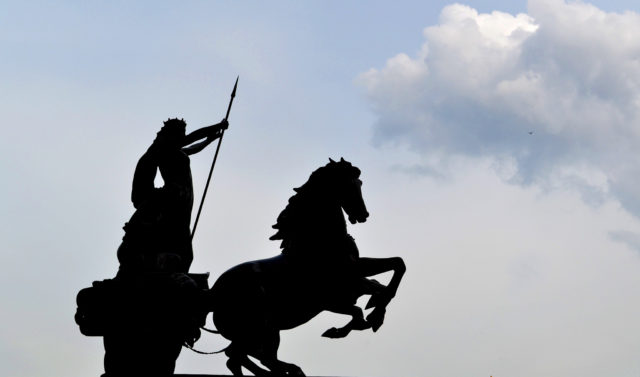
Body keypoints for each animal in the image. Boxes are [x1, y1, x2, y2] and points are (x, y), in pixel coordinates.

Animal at [205, 157, 404, 374]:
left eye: (359, 184)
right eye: (349, 185)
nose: (363, 214)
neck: (317, 245)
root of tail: (213, 295)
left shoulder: (356, 278)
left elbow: (393, 269)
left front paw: (375, 313)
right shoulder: (332, 300)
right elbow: (359, 310)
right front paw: (341, 329)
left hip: (264, 331)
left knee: (247, 357)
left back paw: (291, 370)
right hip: (257, 328)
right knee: (242, 357)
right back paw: (290, 370)